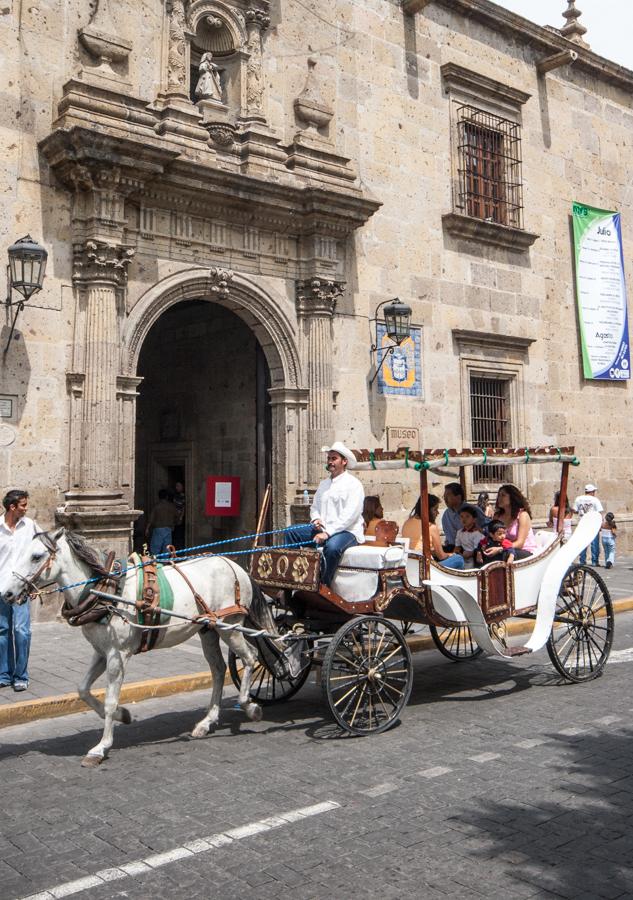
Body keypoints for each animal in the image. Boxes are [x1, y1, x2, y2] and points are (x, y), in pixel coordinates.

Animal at [2, 528, 286, 768]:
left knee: (250, 657)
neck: (107, 591)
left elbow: (109, 700)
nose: (6, 594)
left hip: (231, 626)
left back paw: (249, 706)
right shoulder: (101, 651)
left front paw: (101, 747)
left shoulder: (118, 655)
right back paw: (206, 722)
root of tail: (236, 566)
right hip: (209, 630)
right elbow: (82, 689)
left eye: (36, 556)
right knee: (218, 670)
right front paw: (123, 715)